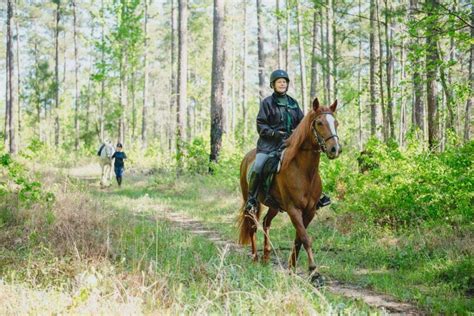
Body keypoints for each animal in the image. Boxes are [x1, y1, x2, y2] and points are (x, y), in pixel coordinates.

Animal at [239, 97, 342, 276]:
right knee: (252, 226)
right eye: (319, 123)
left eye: (335, 122)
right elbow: (305, 238)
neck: (304, 172)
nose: (334, 149)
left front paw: (292, 266)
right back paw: (255, 258)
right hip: (250, 202)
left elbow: (299, 238)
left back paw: (266, 257)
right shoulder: (294, 209)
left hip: (274, 205)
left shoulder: (310, 211)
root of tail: (247, 157)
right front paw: (314, 271)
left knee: (266, 223)